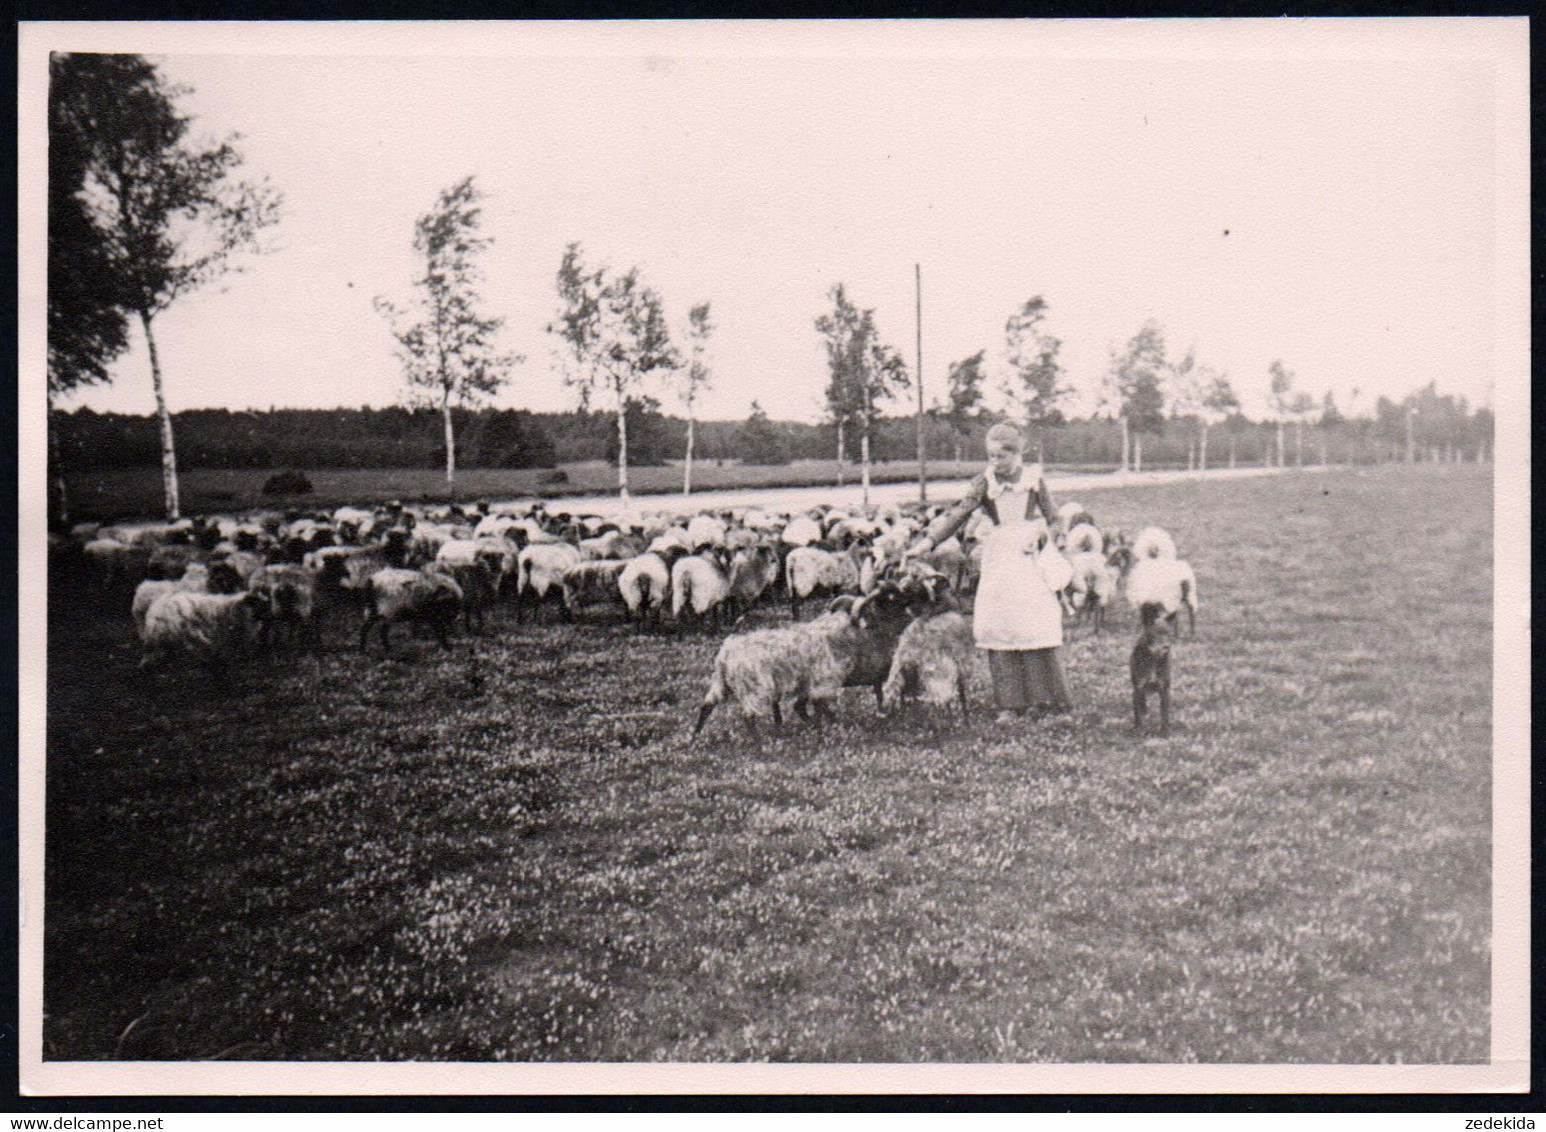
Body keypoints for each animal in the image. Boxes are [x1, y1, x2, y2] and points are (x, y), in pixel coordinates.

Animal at [1131, 600, 1174, 733]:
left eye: (1169, 634)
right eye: (1157, 633)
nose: (1167, 647)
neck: (1154, 658)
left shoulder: (1164, 689)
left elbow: (1164, 714)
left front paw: (1165, 732)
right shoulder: (1139, 688)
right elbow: (1140, 714)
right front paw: (1140, 730)